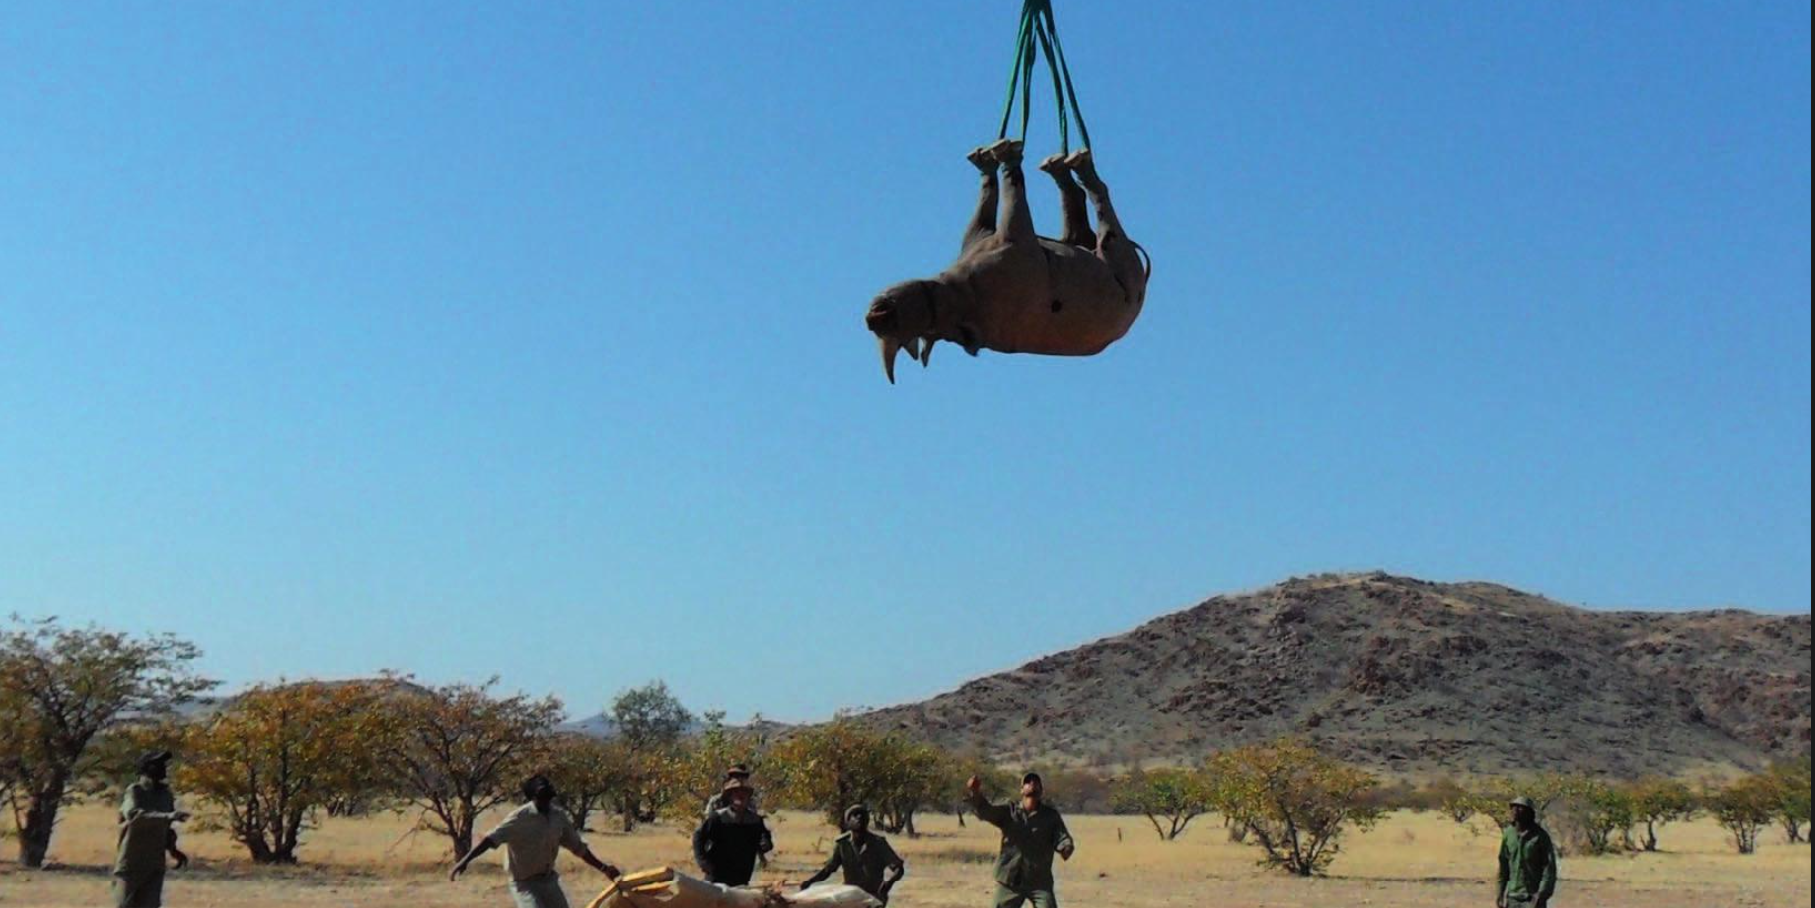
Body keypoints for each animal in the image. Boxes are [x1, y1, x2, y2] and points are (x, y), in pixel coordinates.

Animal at [864, 139, 1150, 382]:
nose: (874, 318)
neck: (959, 293)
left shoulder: (982, 236)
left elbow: (991, 199)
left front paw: (988, 162)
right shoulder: (1016, 240)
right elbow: (1015, 191)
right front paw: (1007, 158)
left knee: (1078, 229)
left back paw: (1062, 169)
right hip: (1125, 268)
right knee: (1101, 220)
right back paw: (1077, 170)